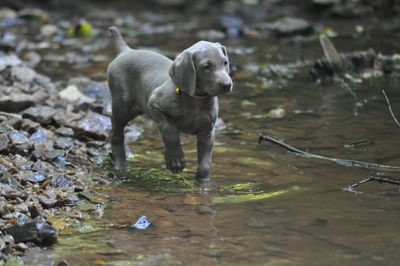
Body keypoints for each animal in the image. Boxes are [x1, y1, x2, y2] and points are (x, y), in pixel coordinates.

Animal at [106, 26, 233, 180]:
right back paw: (120, 163)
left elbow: (205, 163)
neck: (195, 100)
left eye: (225, 62)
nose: (227, 85)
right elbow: (170, 132)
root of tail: (126, 51)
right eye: (206, 66)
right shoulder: (154, 104)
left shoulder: (207, 132)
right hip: (123, 105)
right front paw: (175, 161)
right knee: (116, 134)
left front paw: (203, 181)